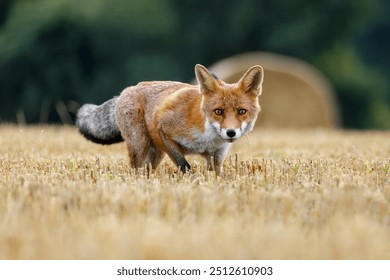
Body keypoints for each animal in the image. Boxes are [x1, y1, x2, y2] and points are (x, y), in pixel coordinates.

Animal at [75, 65, 266, 175]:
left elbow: (215, 175)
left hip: (155, 153)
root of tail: (127, 90)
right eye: (218, 111)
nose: (231, 132)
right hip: (140, 144)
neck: (207, 138)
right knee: (136, 171)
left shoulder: (216, 155)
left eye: (242, 111)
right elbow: (184, 165)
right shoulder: (164, 129)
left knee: (147, 171)